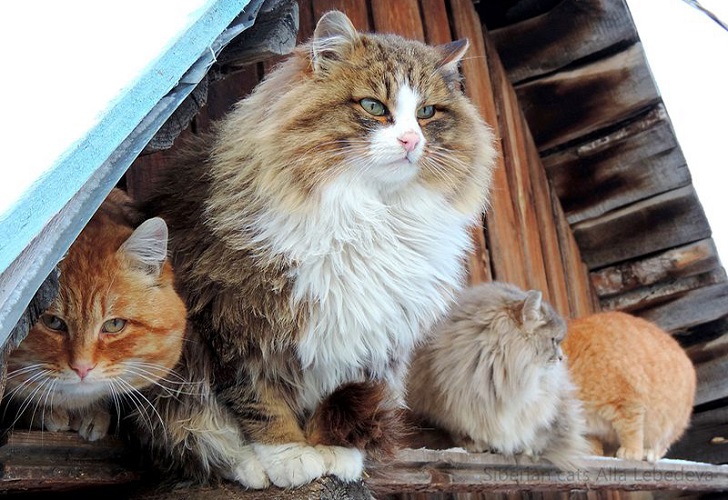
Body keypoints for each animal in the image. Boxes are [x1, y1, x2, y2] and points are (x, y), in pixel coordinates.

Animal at [142, 10, 494, 488]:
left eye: (426, 113)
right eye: (373, 107)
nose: (410, 141)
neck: (370, 217)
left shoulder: (366, 348)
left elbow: (338, 404)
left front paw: (333, 451)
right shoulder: (235, 324)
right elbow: (260, 404)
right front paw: (288, 456)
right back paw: (250, 468)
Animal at [564, 310, 696, 462]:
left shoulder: (626, 400)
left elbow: (630, 430)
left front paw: (631, 452)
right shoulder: (586, 426)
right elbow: (591, 441)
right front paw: (592, 452)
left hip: (668, 426)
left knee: (660, 445)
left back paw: (648, 453)